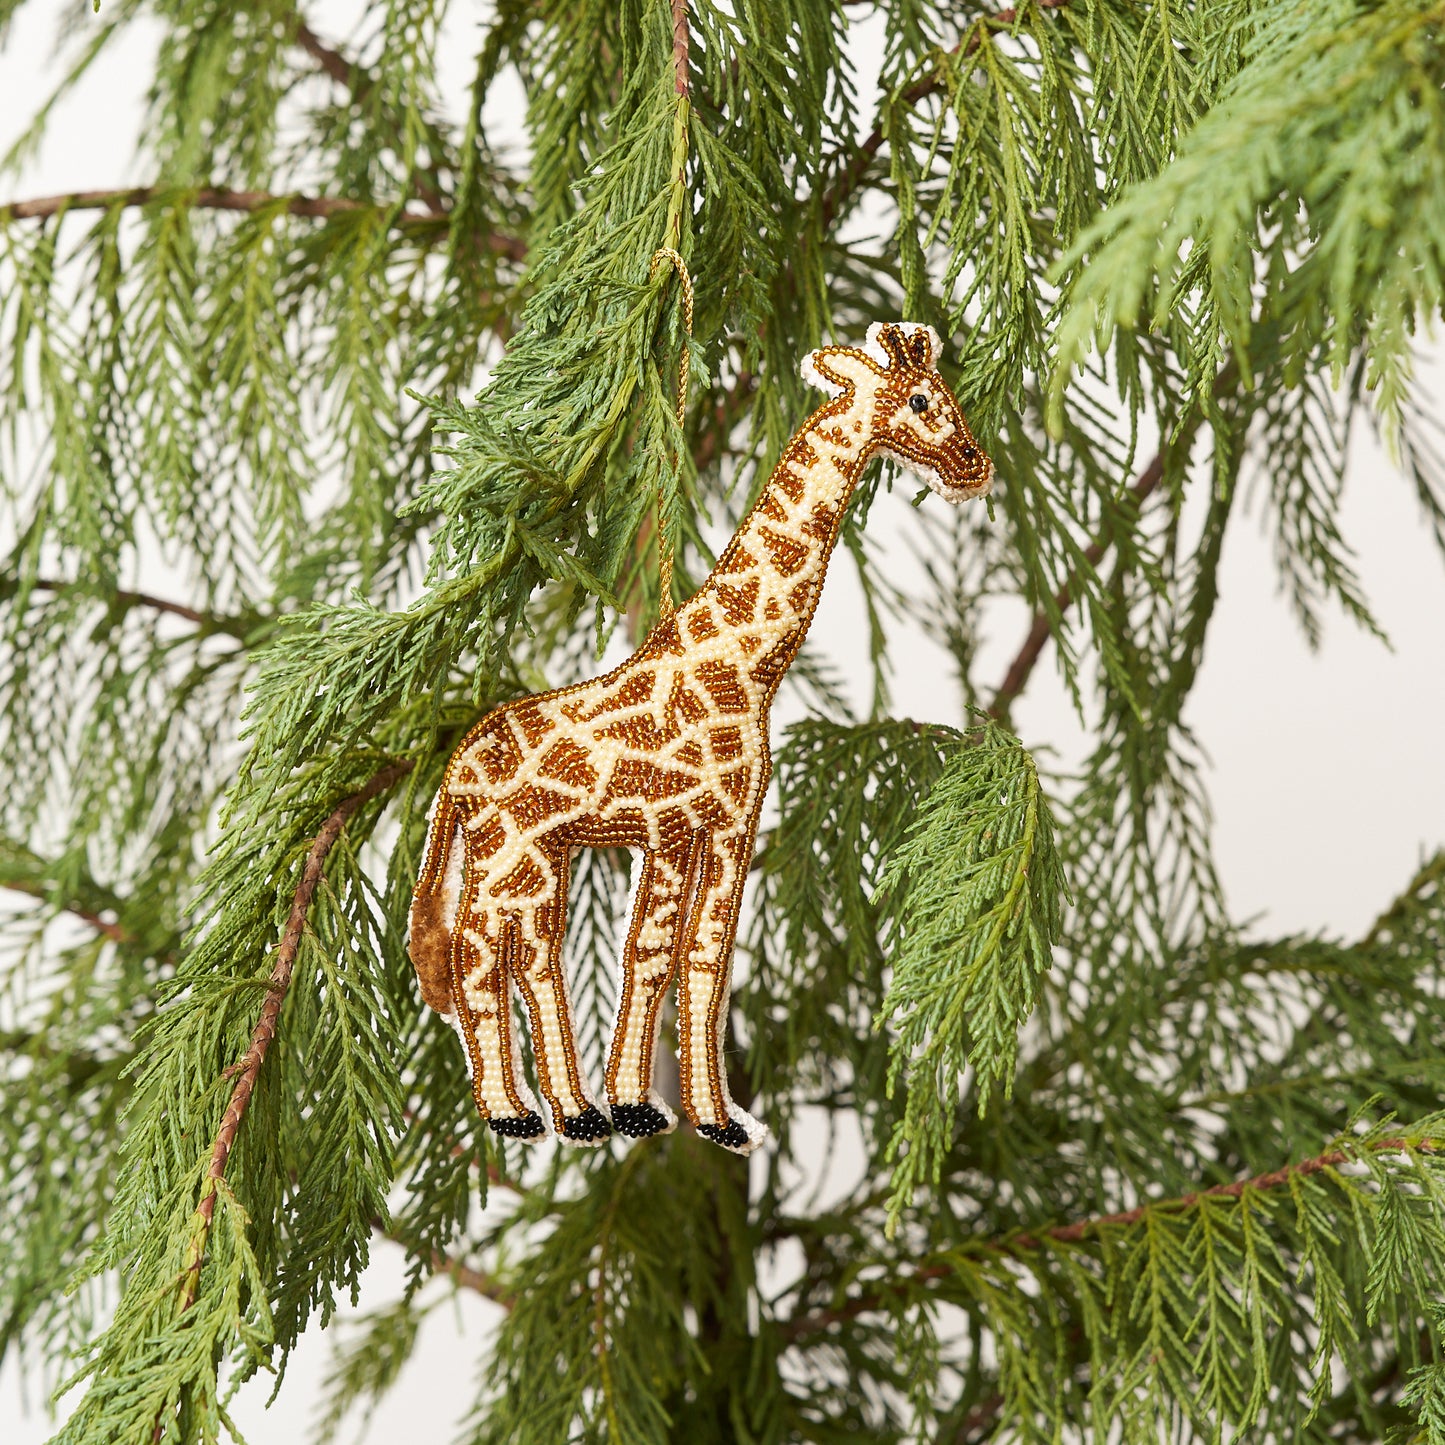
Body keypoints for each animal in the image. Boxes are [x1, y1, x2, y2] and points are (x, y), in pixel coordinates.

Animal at [409, 321, 993, 1155]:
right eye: (920, 398)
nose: (973, 463)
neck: (745, 666)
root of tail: (455, 769)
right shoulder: (697, 823)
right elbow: (678, 955)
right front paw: (677, 1112)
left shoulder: (699, 829)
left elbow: (678, 957)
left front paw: (675, 1111)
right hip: (505, 853)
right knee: (476, 956)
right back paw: (512, 1114)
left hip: (536, 857)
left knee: (528, 955)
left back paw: (573, 1112)